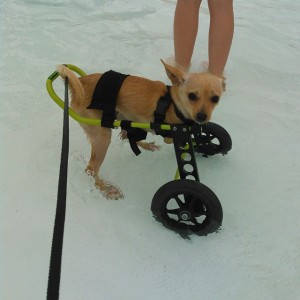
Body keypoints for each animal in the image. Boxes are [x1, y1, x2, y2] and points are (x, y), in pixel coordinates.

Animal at [56, 60, 225, 199]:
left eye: (215, 99)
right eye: (192, 96)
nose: (202, 116)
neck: (174, 103)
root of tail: (80, 82)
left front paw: (204, 143)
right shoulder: (171, 135)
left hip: (123, 119)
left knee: (125, 134)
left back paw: (146, 145)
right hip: (102, 135)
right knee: (91, 170)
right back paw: (105, 189)